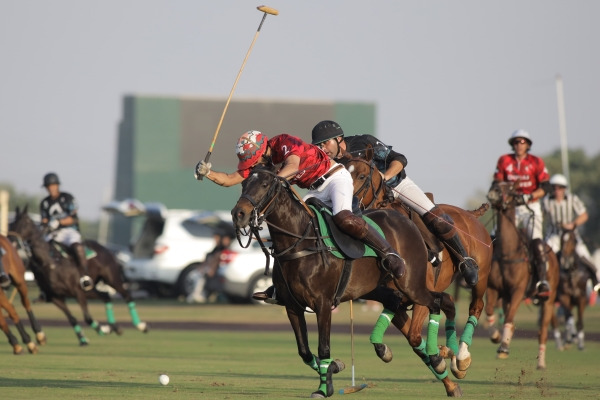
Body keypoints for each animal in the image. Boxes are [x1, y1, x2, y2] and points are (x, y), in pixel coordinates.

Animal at [10, 205, 148, 346]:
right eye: (12, 223)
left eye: (25, 223)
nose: (12, 239)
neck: (49, 262)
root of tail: (105, 249)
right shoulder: (56, 297)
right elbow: (72, 319)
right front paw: (84, 339)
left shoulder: (78, 292)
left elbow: (87, 318)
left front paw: (103, 329)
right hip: (91, 289)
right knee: (106, 296)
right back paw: (115, 327)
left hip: (111, 279)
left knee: (127, 296)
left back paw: (140, 325)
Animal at [342, 155, 492, 378]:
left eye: (361, 176)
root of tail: (469, 213)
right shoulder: (395, 299)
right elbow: (413, 337)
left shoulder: (420, 292)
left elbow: (414, 335)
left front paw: (441, 357)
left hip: (481, 277)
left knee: (476, 305)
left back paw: (462, 357)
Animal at [486, 181, 560, 368]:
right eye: (495, 182)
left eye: (510, 188)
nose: (493, 193)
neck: (508, 253)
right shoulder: (493, 288)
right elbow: (490, 311)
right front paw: (496, 337)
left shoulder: (518, 291)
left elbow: (509, 318)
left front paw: (503, 347)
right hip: (506, 297)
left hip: (549, 299)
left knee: (543, 331)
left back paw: (541, 362)